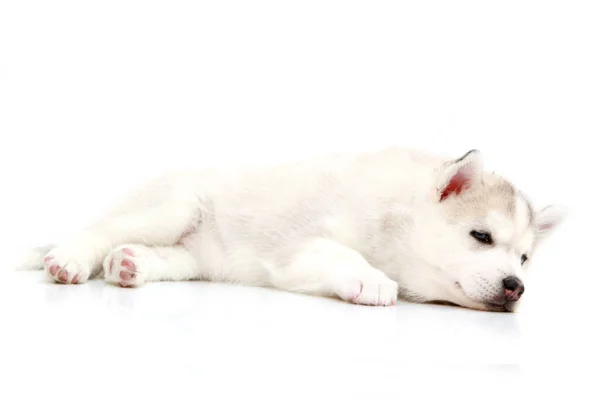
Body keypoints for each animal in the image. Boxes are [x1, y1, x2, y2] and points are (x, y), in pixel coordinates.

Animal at [16, 148, 564, 310]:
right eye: (481, 237)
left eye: (524, 259)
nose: (516, 286)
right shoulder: (300, 246)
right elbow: (341, 254)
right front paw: (371, 280)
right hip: (175, 207)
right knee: (102, 228)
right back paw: (71, 257)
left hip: (195, 255)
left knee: (159, 255)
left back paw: (129, 264)